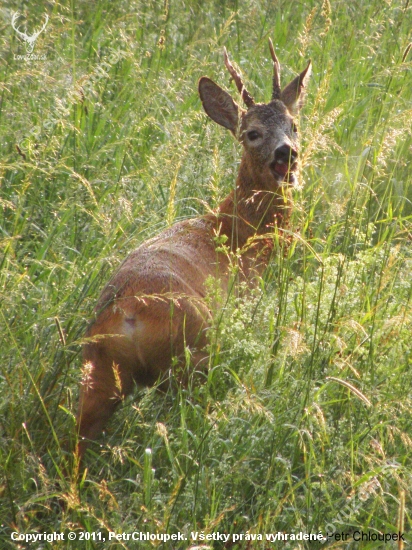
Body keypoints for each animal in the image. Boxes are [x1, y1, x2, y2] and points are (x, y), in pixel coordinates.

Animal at [77, 40, 310, 462]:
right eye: (251, 133)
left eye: (294, 126)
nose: (287, 154)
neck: (236, 234)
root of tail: (128, 314)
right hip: (196, 357)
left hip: (98, 373)